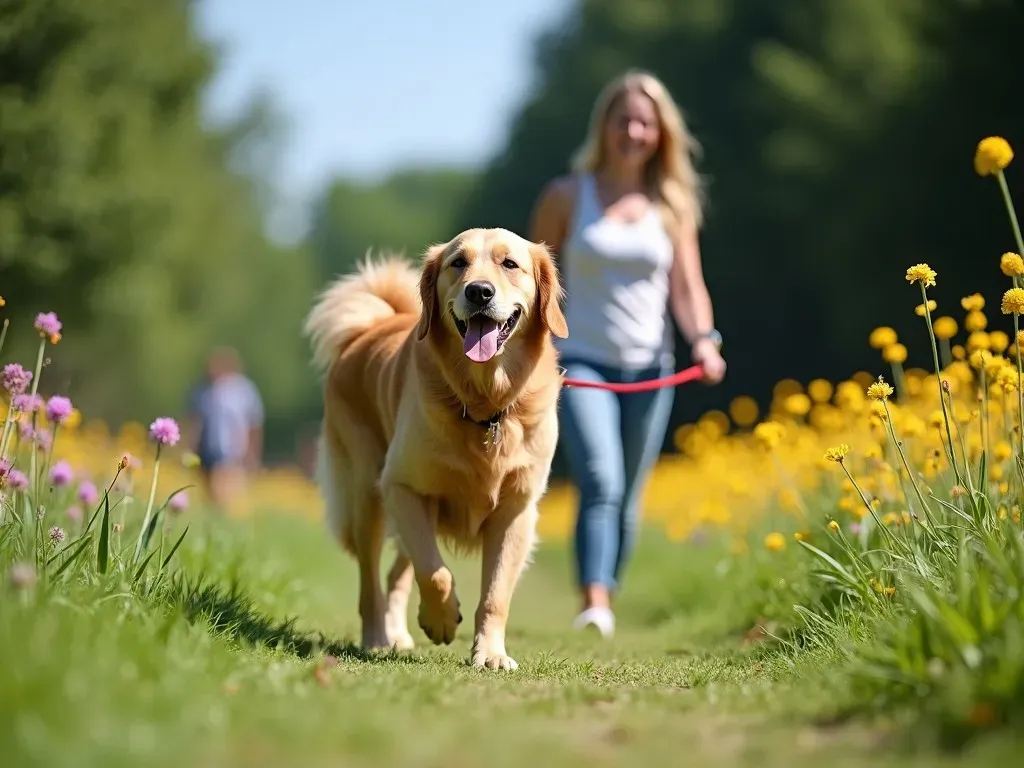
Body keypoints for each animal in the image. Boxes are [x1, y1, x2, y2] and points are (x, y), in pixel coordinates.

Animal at [299, 225, 573, 671]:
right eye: (458, 263)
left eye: (509, 263)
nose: (479, 292)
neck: (484, 405)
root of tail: (371, 325)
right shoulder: (402, 486)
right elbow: (435, 571)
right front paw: (442, 619)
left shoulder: (516, 510)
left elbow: (495, 594)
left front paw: (490, 653)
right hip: (368, 496)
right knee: (371, 582)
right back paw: (378, 638)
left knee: (395, 573)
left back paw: (397, 633)